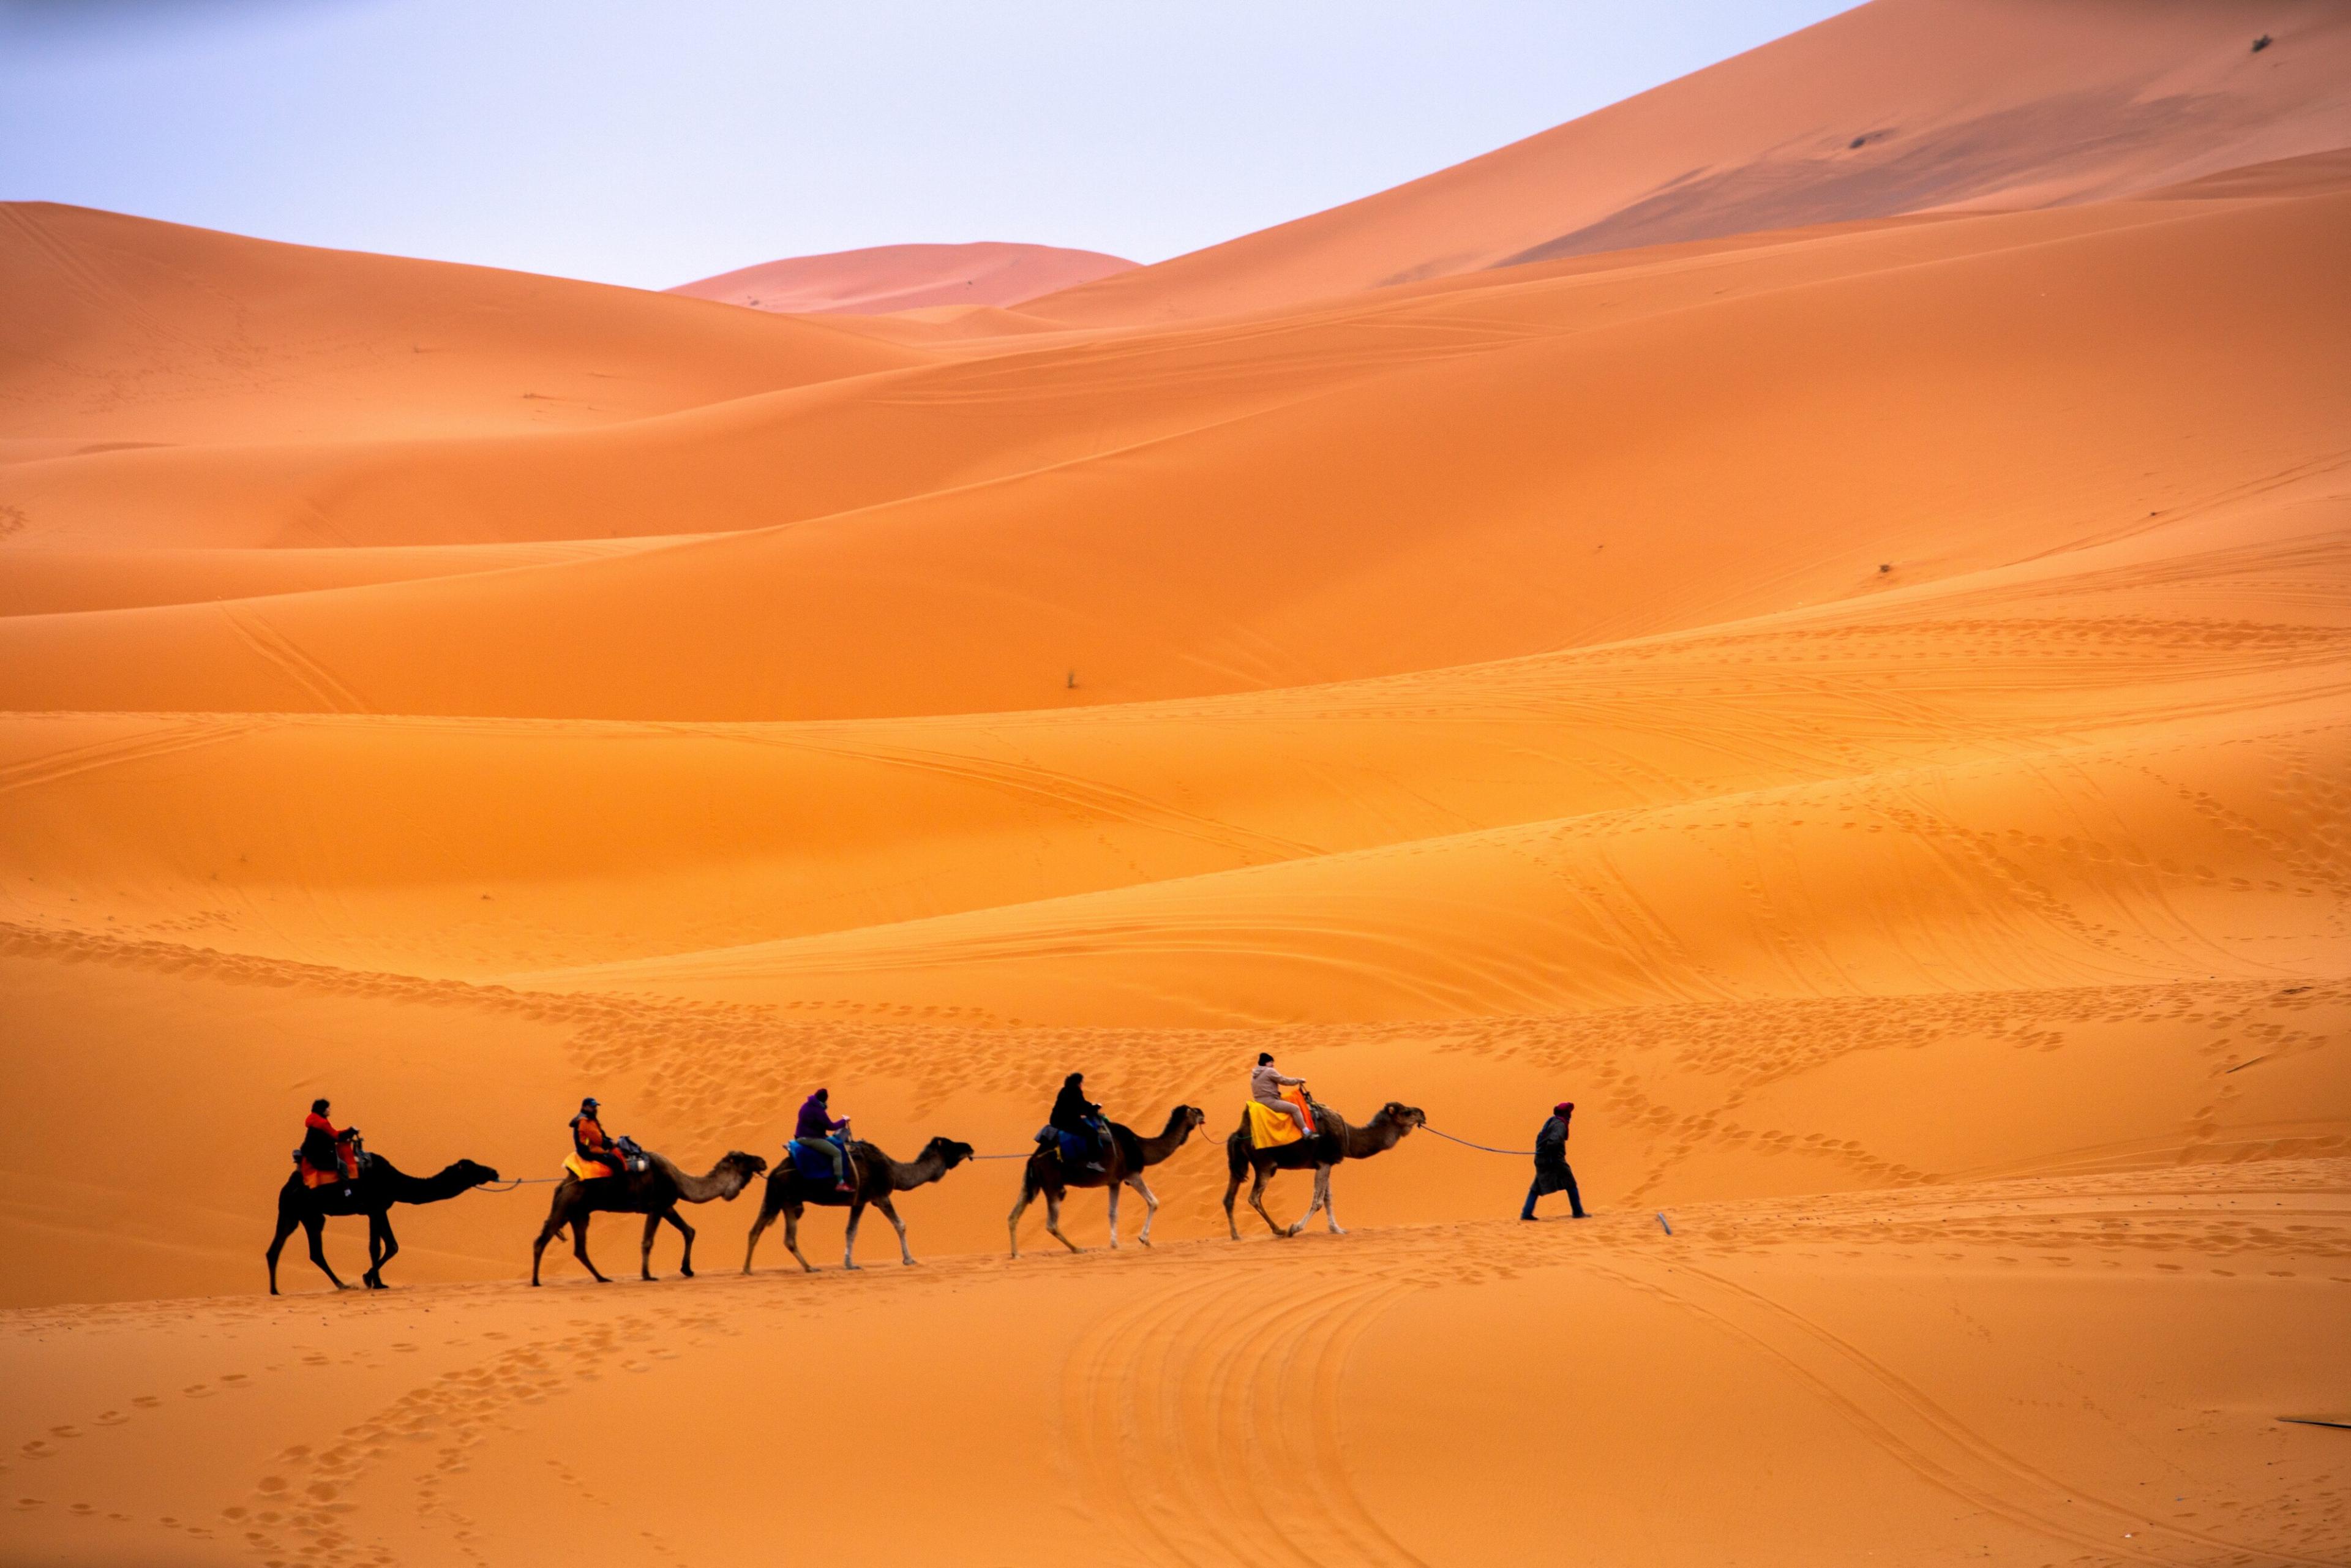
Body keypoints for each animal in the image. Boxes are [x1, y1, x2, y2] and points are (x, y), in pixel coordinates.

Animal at [266, 1153, 500, 1295]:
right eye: (472, 1168)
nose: (493, 1172)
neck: (396, 1182)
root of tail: (287, 1187)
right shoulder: (377, 1207)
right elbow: (390, 1245)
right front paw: (369, 1279)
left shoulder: (375, 1210)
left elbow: (376, 1246)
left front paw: (377, 1282)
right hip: (310, 1213)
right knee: (313, 1252)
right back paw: (343, 1285)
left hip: (293, 1214)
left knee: (277, 1249)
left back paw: (275, 1291)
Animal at [529, 1149, 766, 1285]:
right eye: (744, 1158)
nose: (763, 1161)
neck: (680, 1181)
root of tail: (563, 1183)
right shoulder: (657, 1207)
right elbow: (648, 1241)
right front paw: (647, 1275)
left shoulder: (667, 1206)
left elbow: (689, 1230)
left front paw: (687, 1269)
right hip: (567, 1206)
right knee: (542, 1240)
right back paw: (536, 1281)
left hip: (578, 1214)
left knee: (579, 1248)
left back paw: (602, 1278)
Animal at [742, 1136, 973, 1273]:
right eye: (951, 1145)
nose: (969, 1147)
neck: (894, 1171)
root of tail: (773, 1172)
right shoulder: (880, 1196)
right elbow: (900, 1224)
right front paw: (909, 1260)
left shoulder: (859, 1201)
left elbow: (851, 1231)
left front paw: (849, 1264)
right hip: (776, 1196)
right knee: (757, 1229)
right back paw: (747, 1269)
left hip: (789, 1202)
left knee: (786, 1237)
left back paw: (809, 1268)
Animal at [1008, 1104, 1206, 1257]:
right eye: (1193, 1111)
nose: (1203, 1113)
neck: (1140, 1147)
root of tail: (1034, 1158)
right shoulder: (1132, 1174)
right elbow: (1154, 1202)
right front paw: (1145, 1240)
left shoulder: (1114, 1181)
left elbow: (1112, 1213)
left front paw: (1115, 1245)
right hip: (1053, 1184)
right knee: (1051, 1224)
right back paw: (1077, 1249)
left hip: (1032, 1183)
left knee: (1013, 1215)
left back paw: (1016, 1254)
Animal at [1224, 1097, 1424, 1239]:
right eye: (1406, 1112)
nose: (1423, 1114)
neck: (1348, 1136)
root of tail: (1239, 1133)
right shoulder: (1325, 1162)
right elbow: (1318, 1201)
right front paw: (1295, 1228)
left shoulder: (1325, 1164)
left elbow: (1328, 1199)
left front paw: (1337, 1229)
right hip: (1265, 1165)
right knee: (1254, 1198)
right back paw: (1279, 1230)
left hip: (1240, 1165)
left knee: (1229, 1198)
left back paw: (1236, 1235)